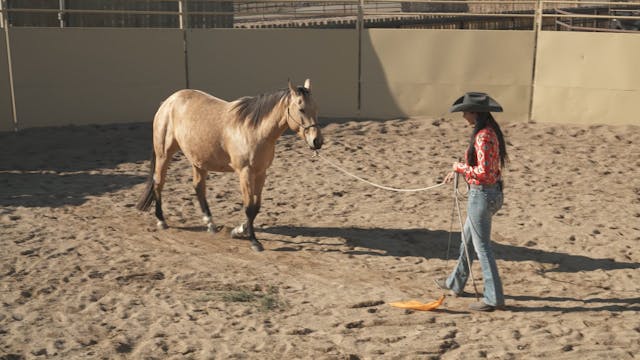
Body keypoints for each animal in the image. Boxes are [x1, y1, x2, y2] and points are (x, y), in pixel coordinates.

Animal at [137, 80, 322, 252]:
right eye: (301, 109)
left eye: (316, 108)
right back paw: (161, 221)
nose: (317, 141)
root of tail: (168, 102)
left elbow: (256, 207)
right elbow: (249, 207)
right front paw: (254, 241)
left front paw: (239, 230)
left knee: (198, 187)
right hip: (164, 154)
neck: (254, 130)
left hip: (198, 160)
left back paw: (210, 224)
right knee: (159, 183)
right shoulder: (245, 173)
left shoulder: (261, 172)